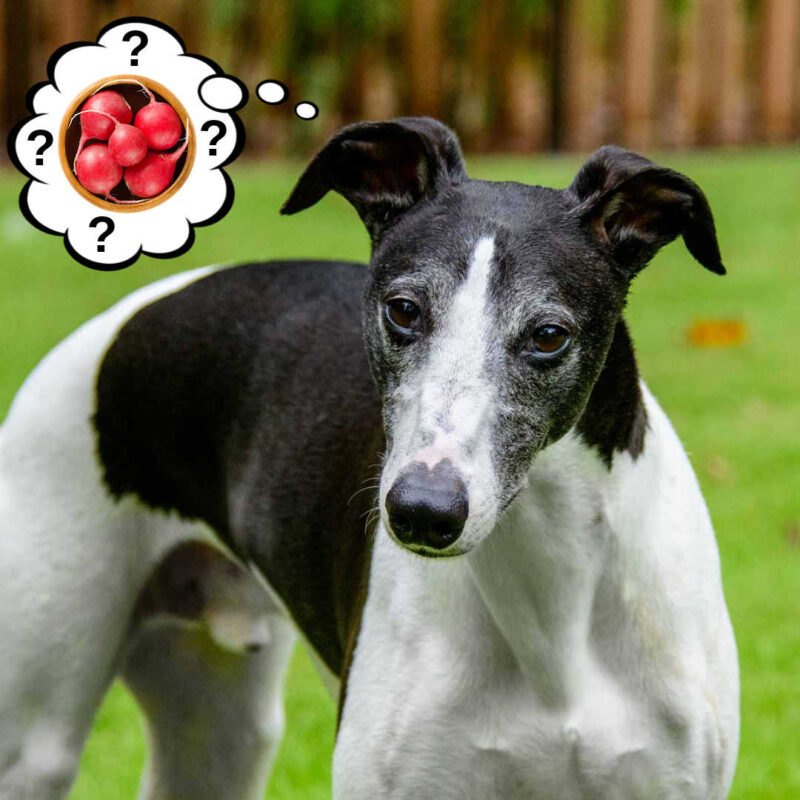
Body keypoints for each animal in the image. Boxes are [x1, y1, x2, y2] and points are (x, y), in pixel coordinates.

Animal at [0, 120, 736, 800]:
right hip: (38, 742)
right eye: (403, 309)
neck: (553, 605)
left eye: (549, 334)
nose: (423, 512)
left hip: (221, 733)